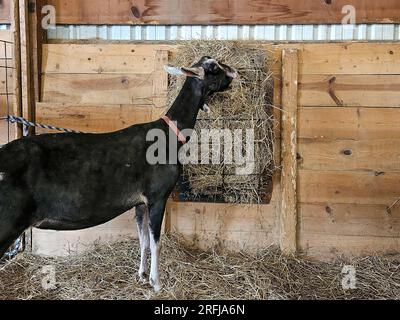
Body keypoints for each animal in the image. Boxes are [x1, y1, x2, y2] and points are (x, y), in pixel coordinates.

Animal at [0, 56, 236, 292]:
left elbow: (143, 240)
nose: (234, 72)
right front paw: (157, 283)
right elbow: (156, 243)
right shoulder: (157, 196)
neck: (168, 136)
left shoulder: (140, 203)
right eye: (214, 67)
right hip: (8, 222)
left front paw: (141, 275)